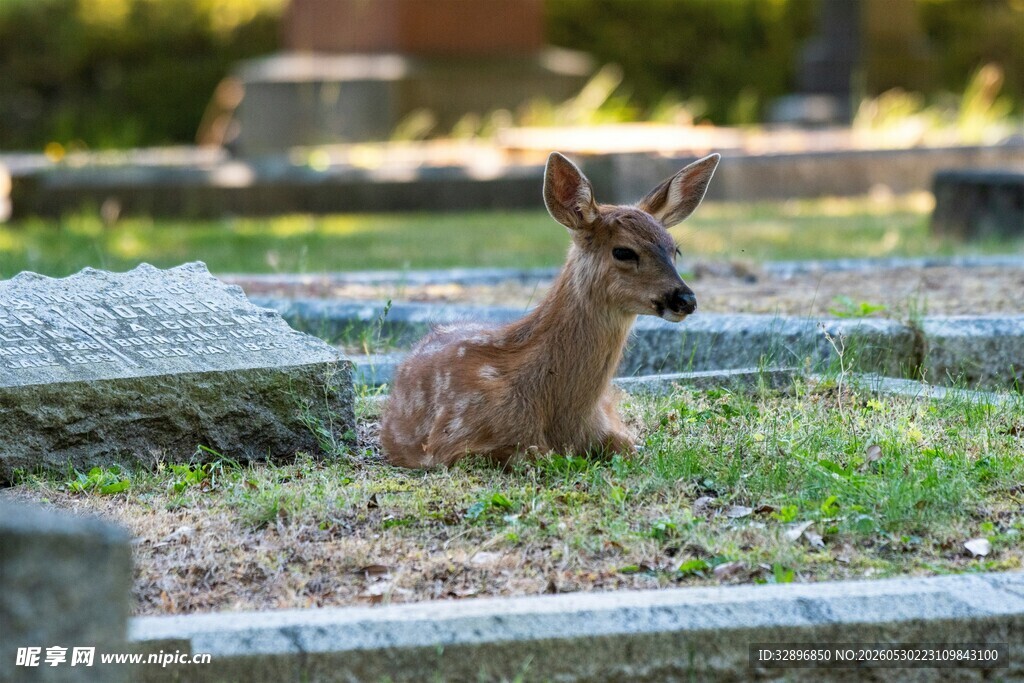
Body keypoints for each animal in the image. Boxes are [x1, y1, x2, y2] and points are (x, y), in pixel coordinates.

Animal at [380, 151, 720, 468]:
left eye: (675, 250)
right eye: (624, 251)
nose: (686, 299)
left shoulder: (610, 426)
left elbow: (628, 447)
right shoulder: (451, 442)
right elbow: (535, 455)